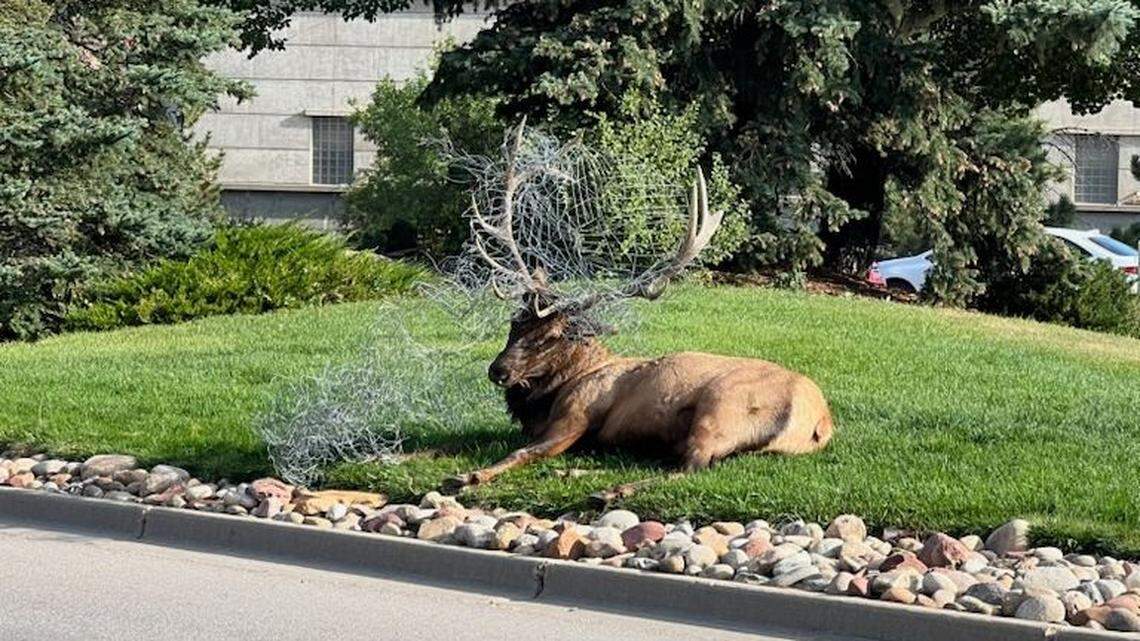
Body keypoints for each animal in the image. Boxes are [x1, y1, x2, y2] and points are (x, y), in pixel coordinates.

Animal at [443, 125, 834, 493]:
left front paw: (469, 476)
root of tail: (821, 421)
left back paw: (608, 491)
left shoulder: (576, 415)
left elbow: (522, 453)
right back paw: (576, 473)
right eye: (514, 323)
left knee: (690, 469)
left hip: (721, 408)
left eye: (555, 335)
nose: (498, 370)